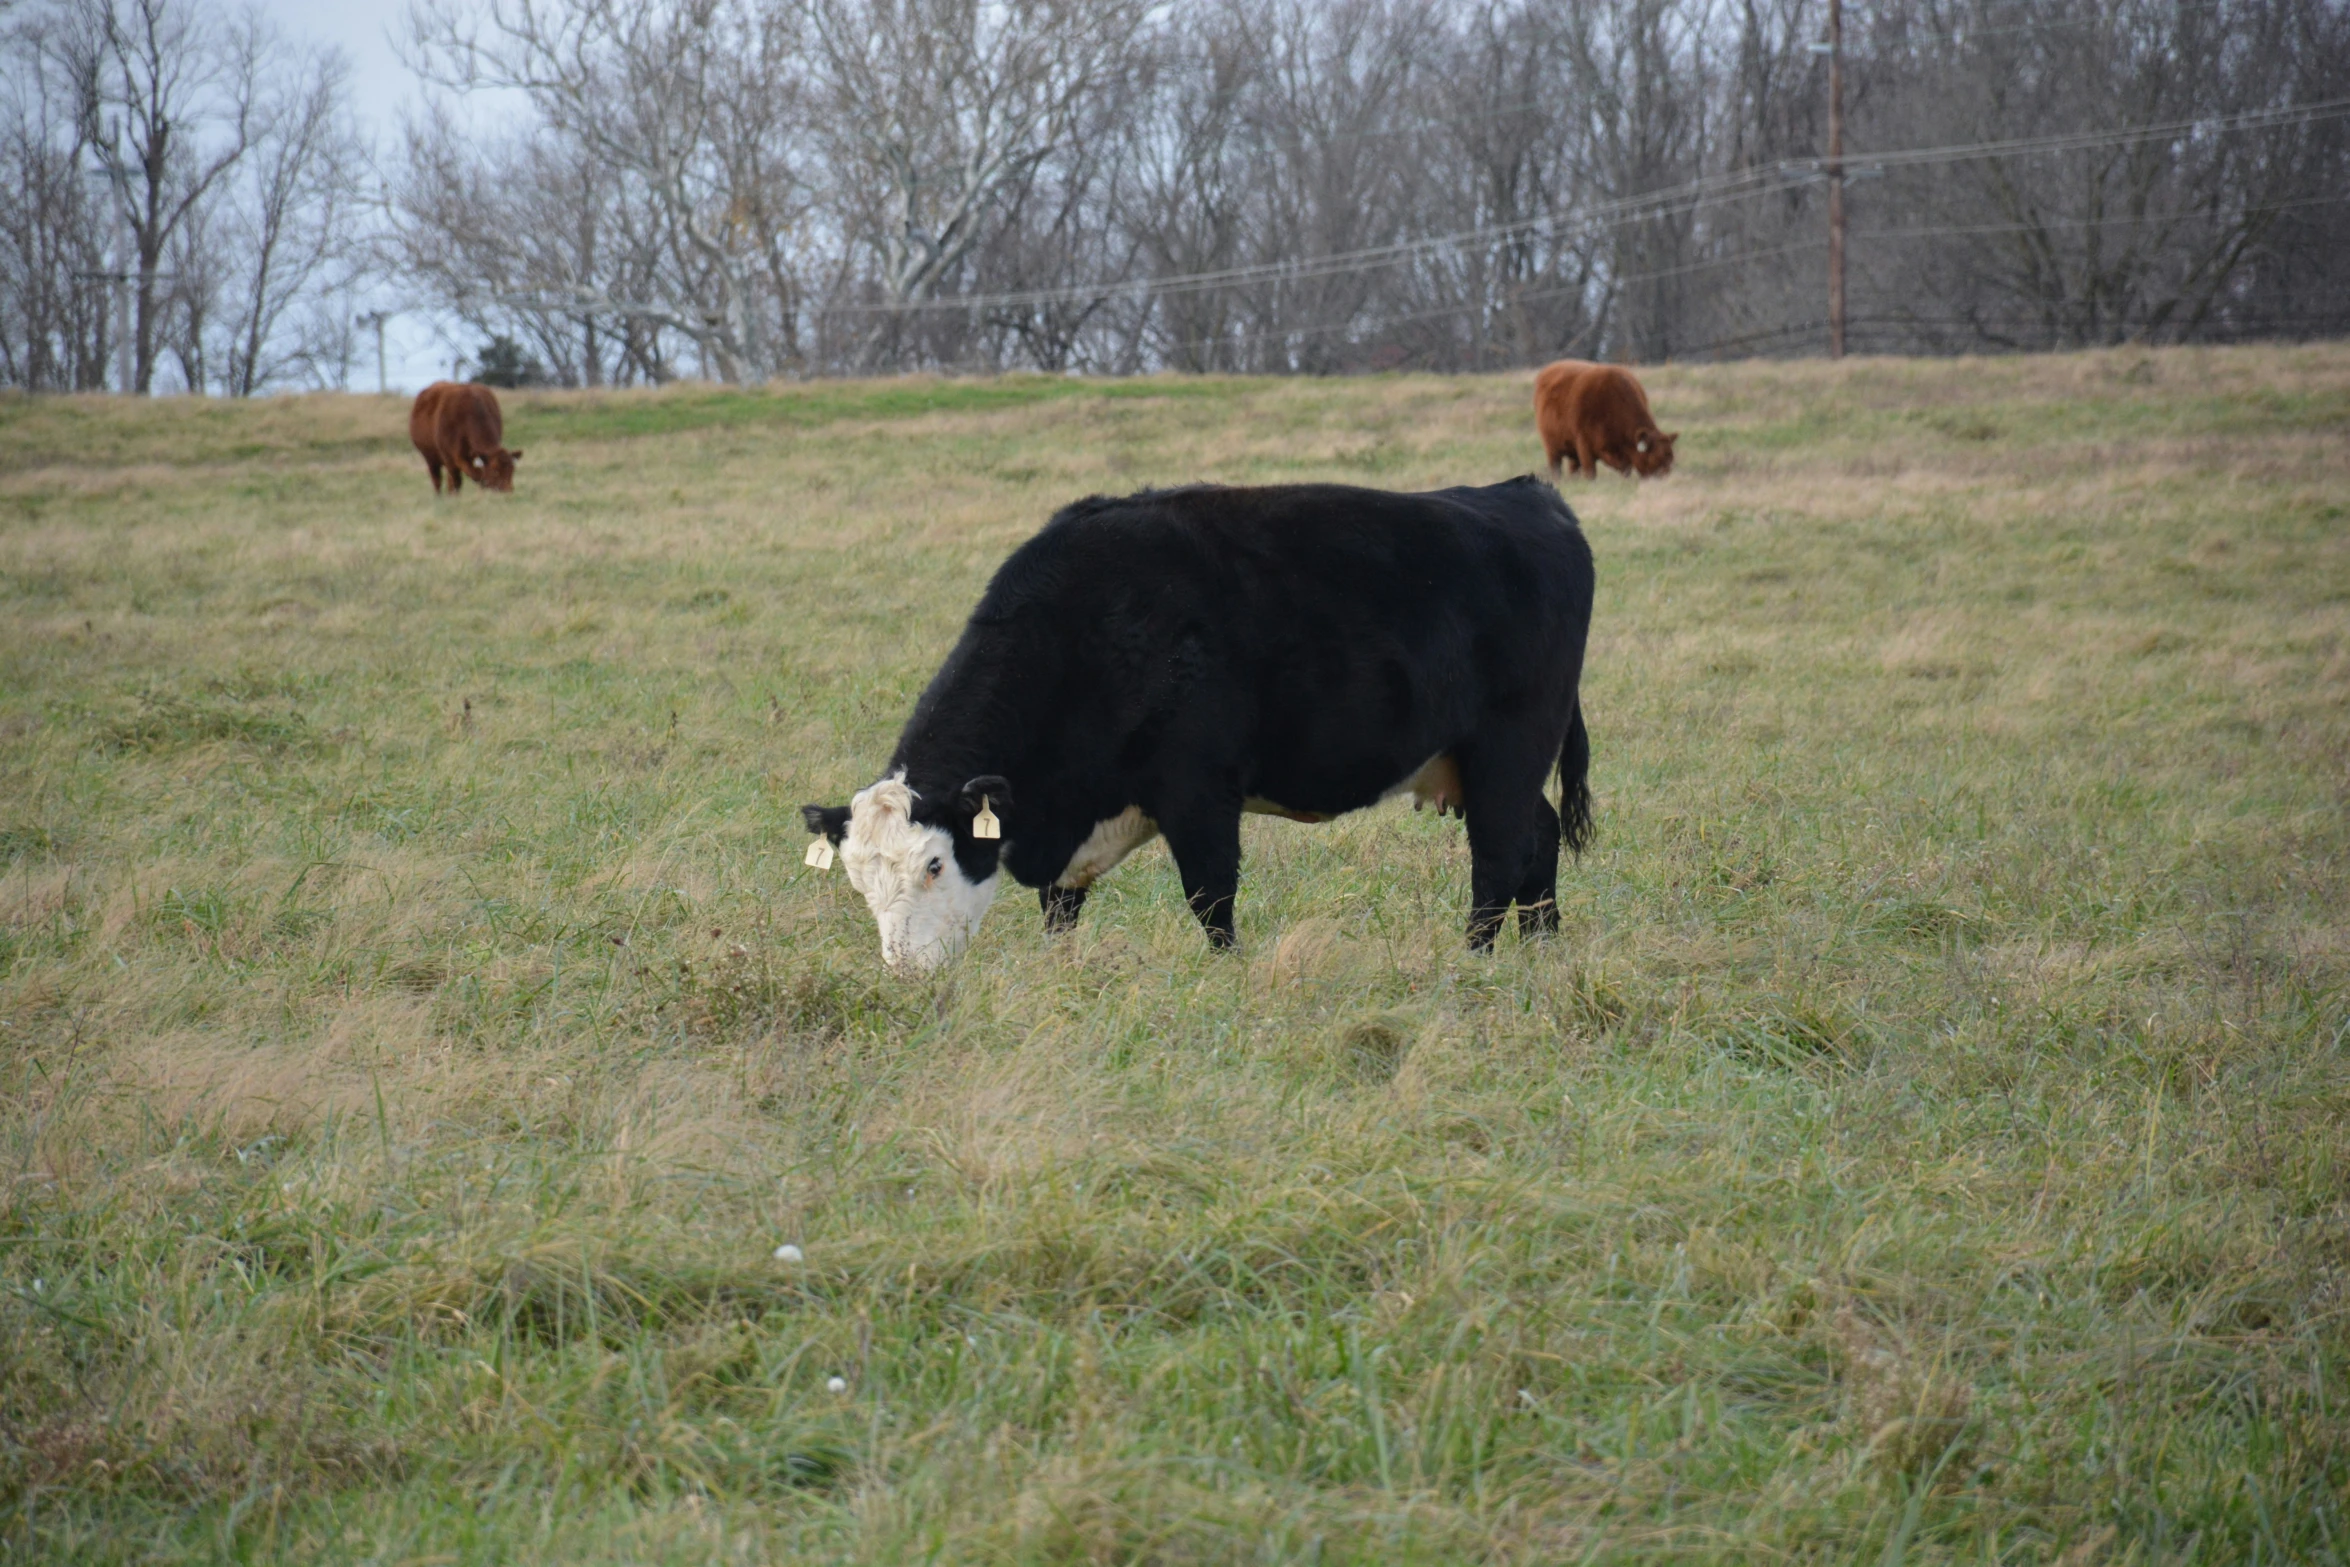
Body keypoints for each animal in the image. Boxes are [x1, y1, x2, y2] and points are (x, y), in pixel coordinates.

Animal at [808, 479, 1597, 967]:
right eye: (857, 879)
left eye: (935, 863)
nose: (906, 970)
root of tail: (1525, 494)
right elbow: (1060, 906)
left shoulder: (1198, 788)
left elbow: (1210, 894)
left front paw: (1228, 973)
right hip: (1489, 763)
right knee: (1540, 835)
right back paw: (1545, 947)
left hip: (1509, 745)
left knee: (1499, 854)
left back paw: (1475, 960)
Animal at [1532, 361, 1682, 483]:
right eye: (1656, 458)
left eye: (1671, 458)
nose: (1664, 480)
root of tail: (1550, 369)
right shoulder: (1584, 445)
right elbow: (1590, 473)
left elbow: (1626, 470)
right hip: (1551, 447)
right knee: (1556, 467)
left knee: (1573, 468)